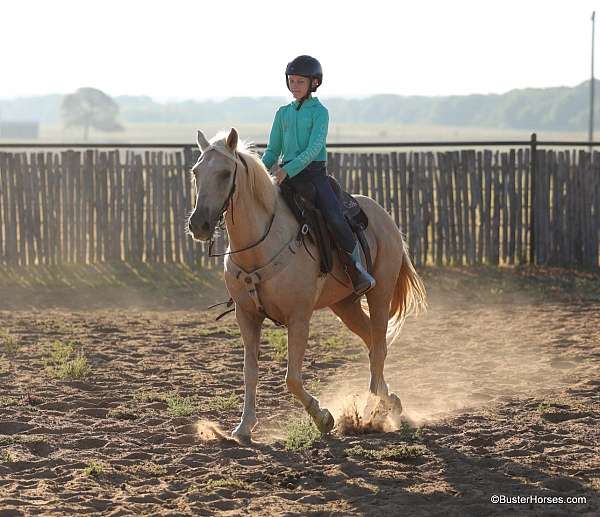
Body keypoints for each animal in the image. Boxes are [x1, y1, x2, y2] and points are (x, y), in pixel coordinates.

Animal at [188, 129, 426, 444]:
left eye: (226, 173)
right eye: (196, 171)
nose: (198, 224)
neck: (260, 244)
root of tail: (384, 216)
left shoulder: (299, 318)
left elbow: (292, 378)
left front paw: (323, 418)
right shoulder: (246, 316)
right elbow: (250, 372)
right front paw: (244, 427)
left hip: (380, 293)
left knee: (379, 348)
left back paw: (370, 410)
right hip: (345, 305)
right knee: (373, 342)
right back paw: (389, 402)